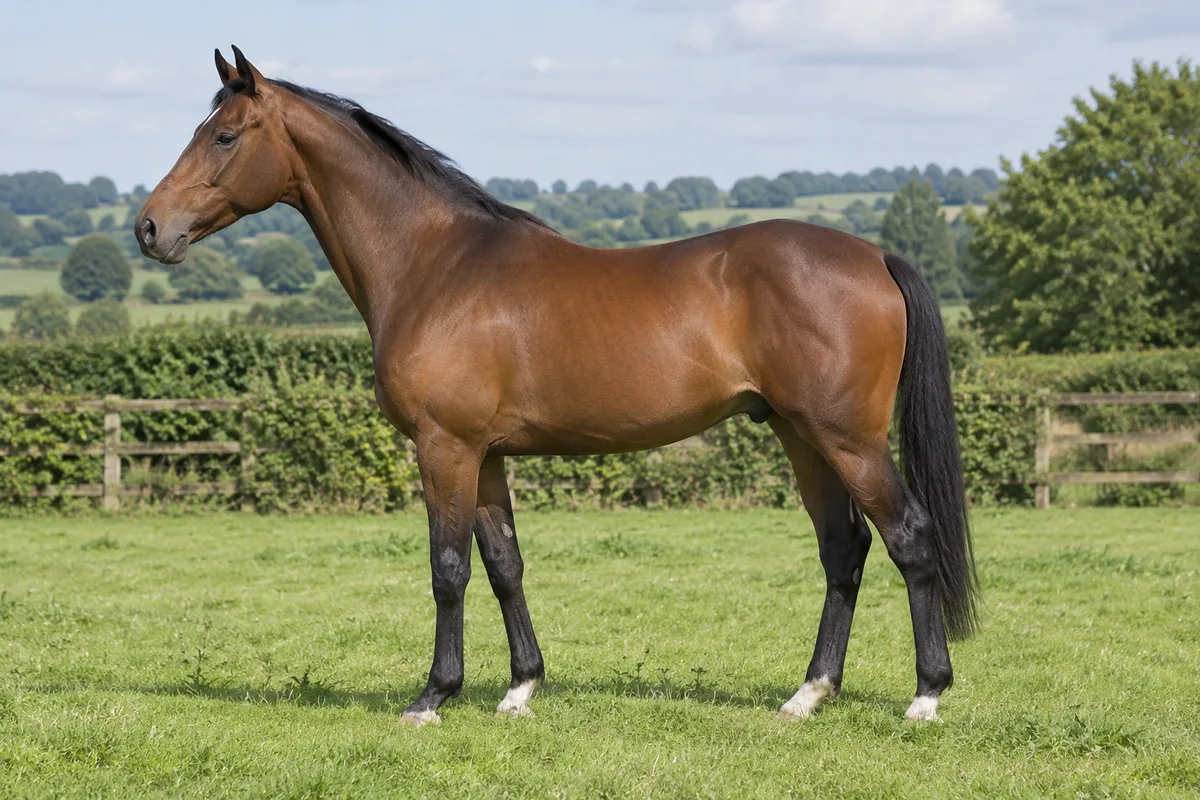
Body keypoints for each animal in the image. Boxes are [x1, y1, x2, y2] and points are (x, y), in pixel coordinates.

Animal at [135, 46, 978, 726]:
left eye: (224, 135)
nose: (148, 228)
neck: (435, 266)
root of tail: (873, 256)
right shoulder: (486, 456)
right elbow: (504, 565)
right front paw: (520, 689)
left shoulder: (445, 448)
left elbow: (448, 570)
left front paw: (433, 696)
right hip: (800, 434)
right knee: (844, 547)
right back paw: (808, 693)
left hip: (848, 439)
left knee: (909, 538)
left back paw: (926, 695)